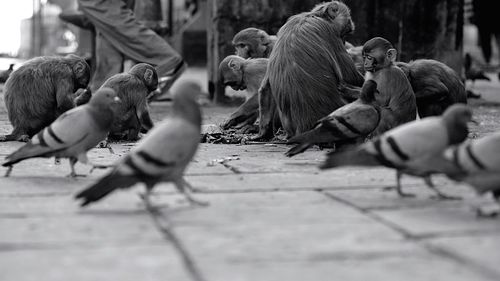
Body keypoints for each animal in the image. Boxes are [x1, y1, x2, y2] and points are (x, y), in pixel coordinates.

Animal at [256, 1, 366, 139]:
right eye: (344, 34)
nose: (344, 42)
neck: (314, 15)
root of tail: (303, 127)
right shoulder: (329, 32)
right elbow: (351, 77)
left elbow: (266, 87)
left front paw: (263, 131)